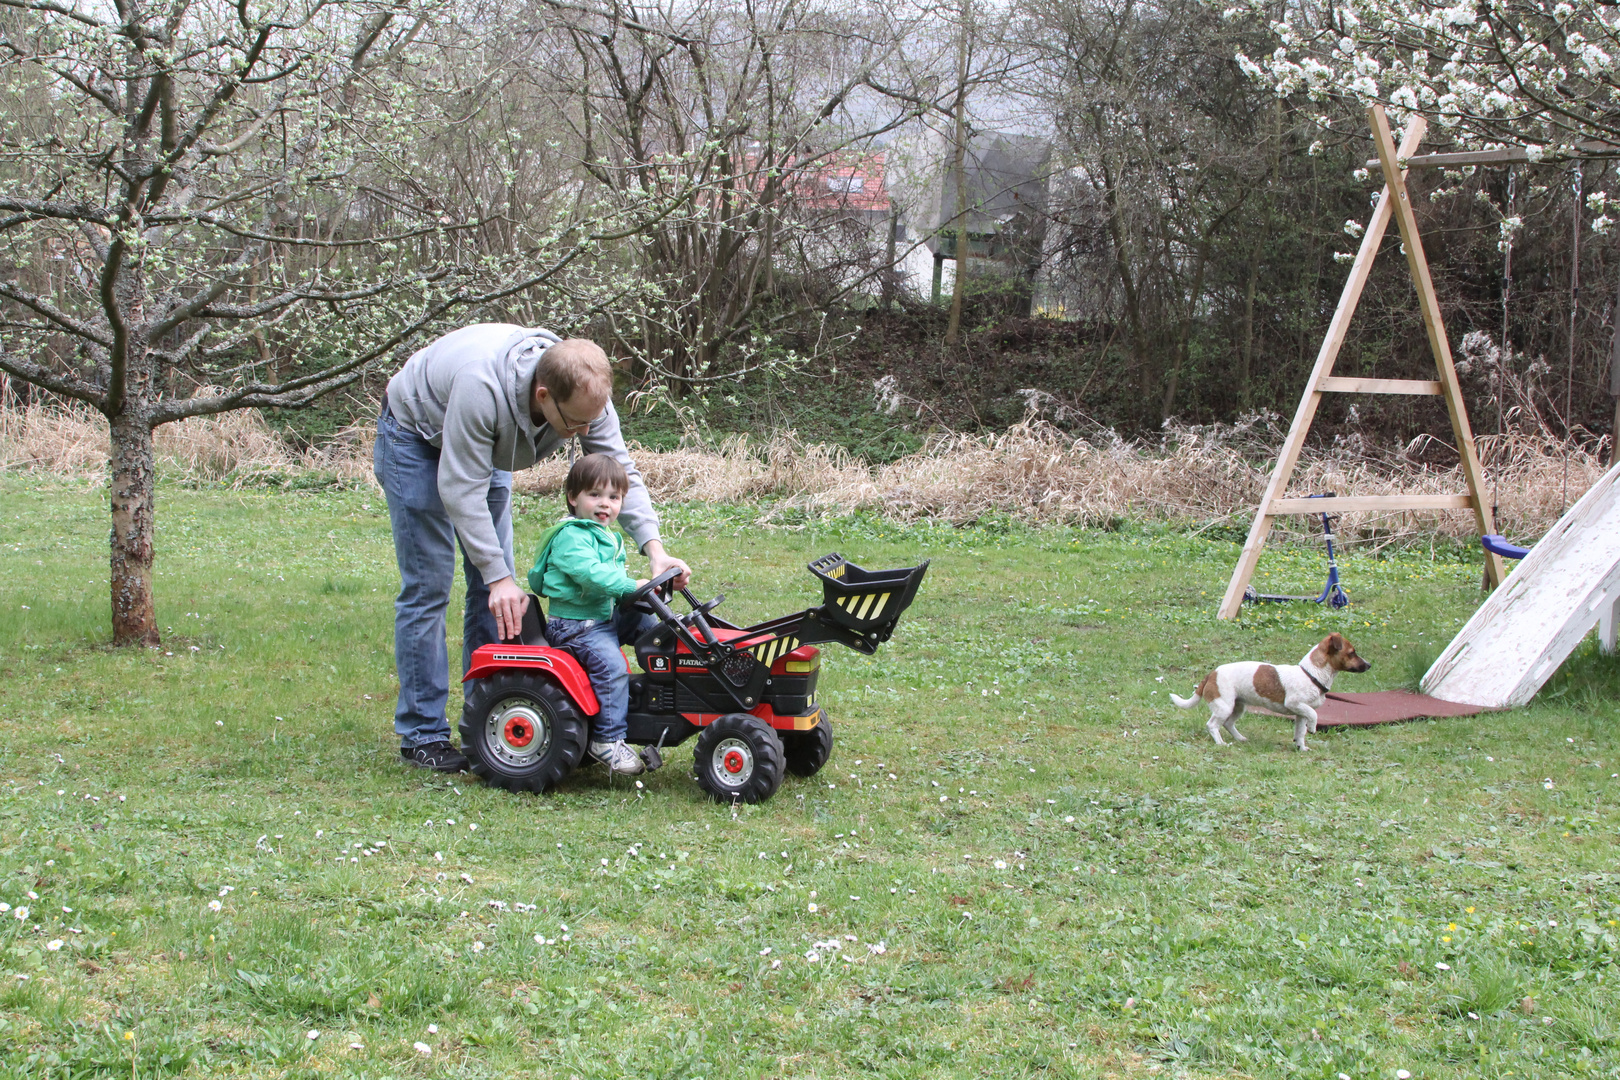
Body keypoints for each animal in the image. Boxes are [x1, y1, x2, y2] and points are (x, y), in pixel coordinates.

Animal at [1179, 634, 1367, 751]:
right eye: (1352, 653)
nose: (1369, 665)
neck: (1311, 674)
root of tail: (1211, 674)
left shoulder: (1300, 714)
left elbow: (1300, 733)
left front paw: (1301, 747)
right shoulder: (1296, 704)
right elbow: (1314, 715)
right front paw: (1313, 728)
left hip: (1237, 707)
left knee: (1228, 723)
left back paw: (1240, 738)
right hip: (1224, 707)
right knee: (1212, 725)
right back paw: (1220, 743)